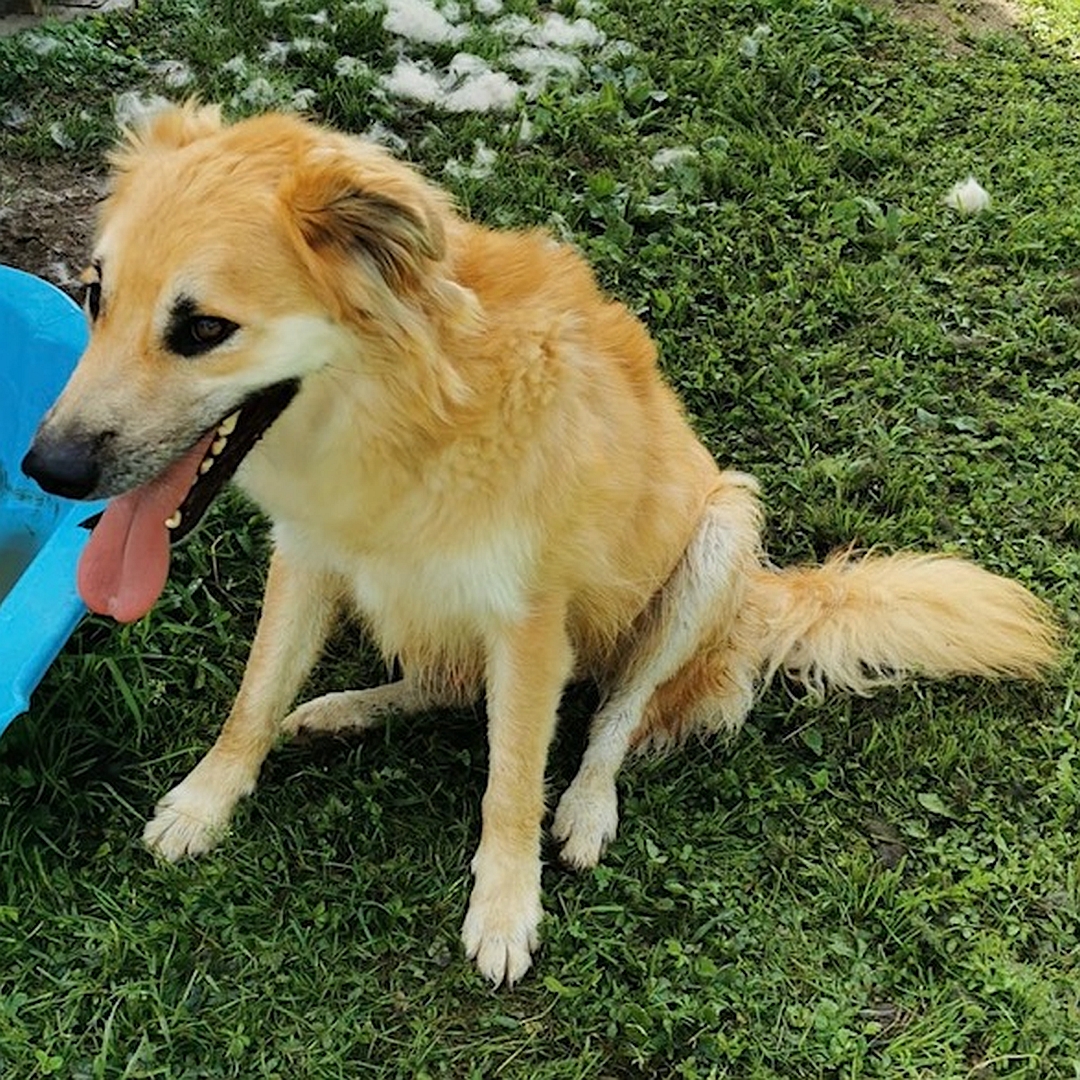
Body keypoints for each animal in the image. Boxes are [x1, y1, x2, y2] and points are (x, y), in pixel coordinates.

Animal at [21, 103, 1058, 989]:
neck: (405, 417)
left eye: (203, 329)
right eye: (95, 296)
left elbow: (513, 778)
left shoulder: (528, 627)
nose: (46, 467)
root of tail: (768, 605)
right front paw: (206, 802)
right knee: (443, 685)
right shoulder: (310, 558)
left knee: (615, 722)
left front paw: (505, 908)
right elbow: (254, 695)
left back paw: (588, 810)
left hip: (719, 535)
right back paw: (342, 710)